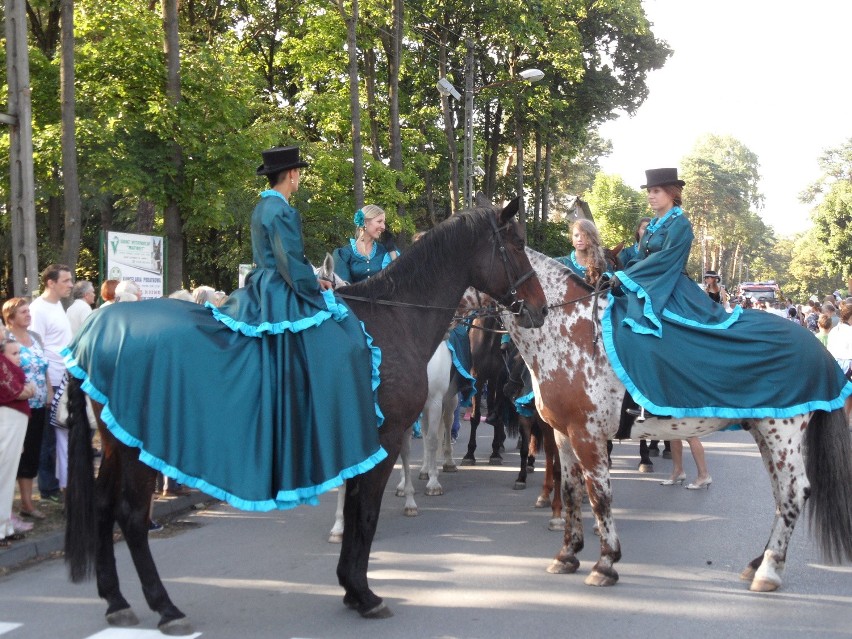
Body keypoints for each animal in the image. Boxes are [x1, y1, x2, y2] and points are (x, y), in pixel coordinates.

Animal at [65, 201, 544, 636]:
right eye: (516, 246)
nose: (538, 308)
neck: (394, 318)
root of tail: (91, 332)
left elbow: (355, 506)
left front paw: (351, 587)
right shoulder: (384, 436)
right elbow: (365, 512)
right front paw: (363, 593)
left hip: (115, 440)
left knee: (105, 507)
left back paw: (117, 601)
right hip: (139, 448)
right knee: (130, 516)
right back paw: (165, 607)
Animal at [500, 250, 852, 596]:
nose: (510, 386)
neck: (570, 333)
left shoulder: (587, 435)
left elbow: (599, 496)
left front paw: (605, 563)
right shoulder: (564, 433)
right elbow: (572, 489)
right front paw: (567, 555)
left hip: (783, 433)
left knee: (794, 491)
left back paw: (767, 570)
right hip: (765, 432)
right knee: (780, 493)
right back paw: (759, 562)